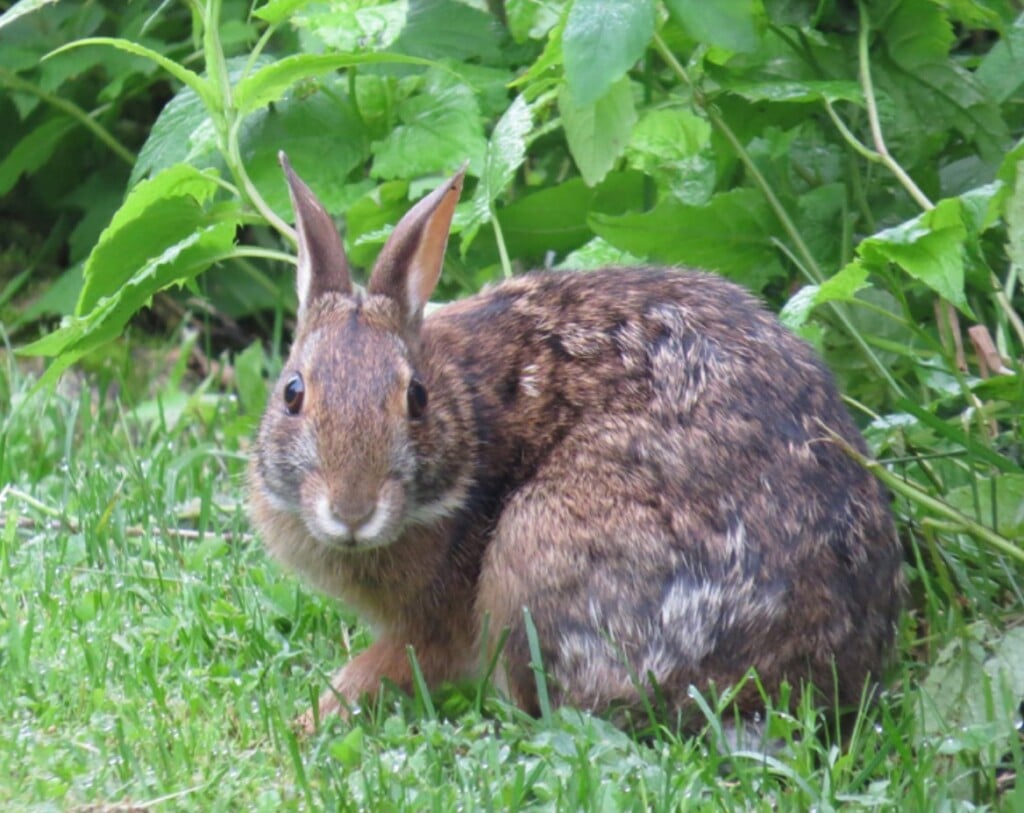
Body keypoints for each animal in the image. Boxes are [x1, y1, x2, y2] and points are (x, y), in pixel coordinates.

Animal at [247, 148, 905, 733]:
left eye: (417, 398)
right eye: (292, 392)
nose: (352, 511)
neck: (472, 417)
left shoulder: (435, 623)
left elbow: (389, 666)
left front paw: (309, 721)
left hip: (538, 556)